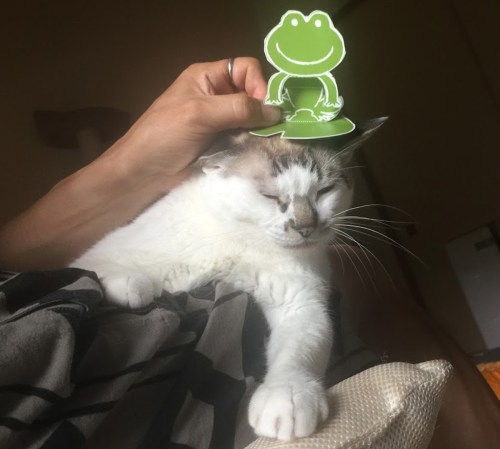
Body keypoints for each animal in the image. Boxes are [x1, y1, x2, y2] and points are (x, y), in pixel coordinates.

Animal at [71, 119, 385, 441]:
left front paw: (288, 397)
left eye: (325, 191)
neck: (241, 238)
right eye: (270, 196)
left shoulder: (300, 303)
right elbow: (96, 269)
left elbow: (301, 349)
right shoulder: (100, 253)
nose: (305, 227)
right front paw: (132, 284)